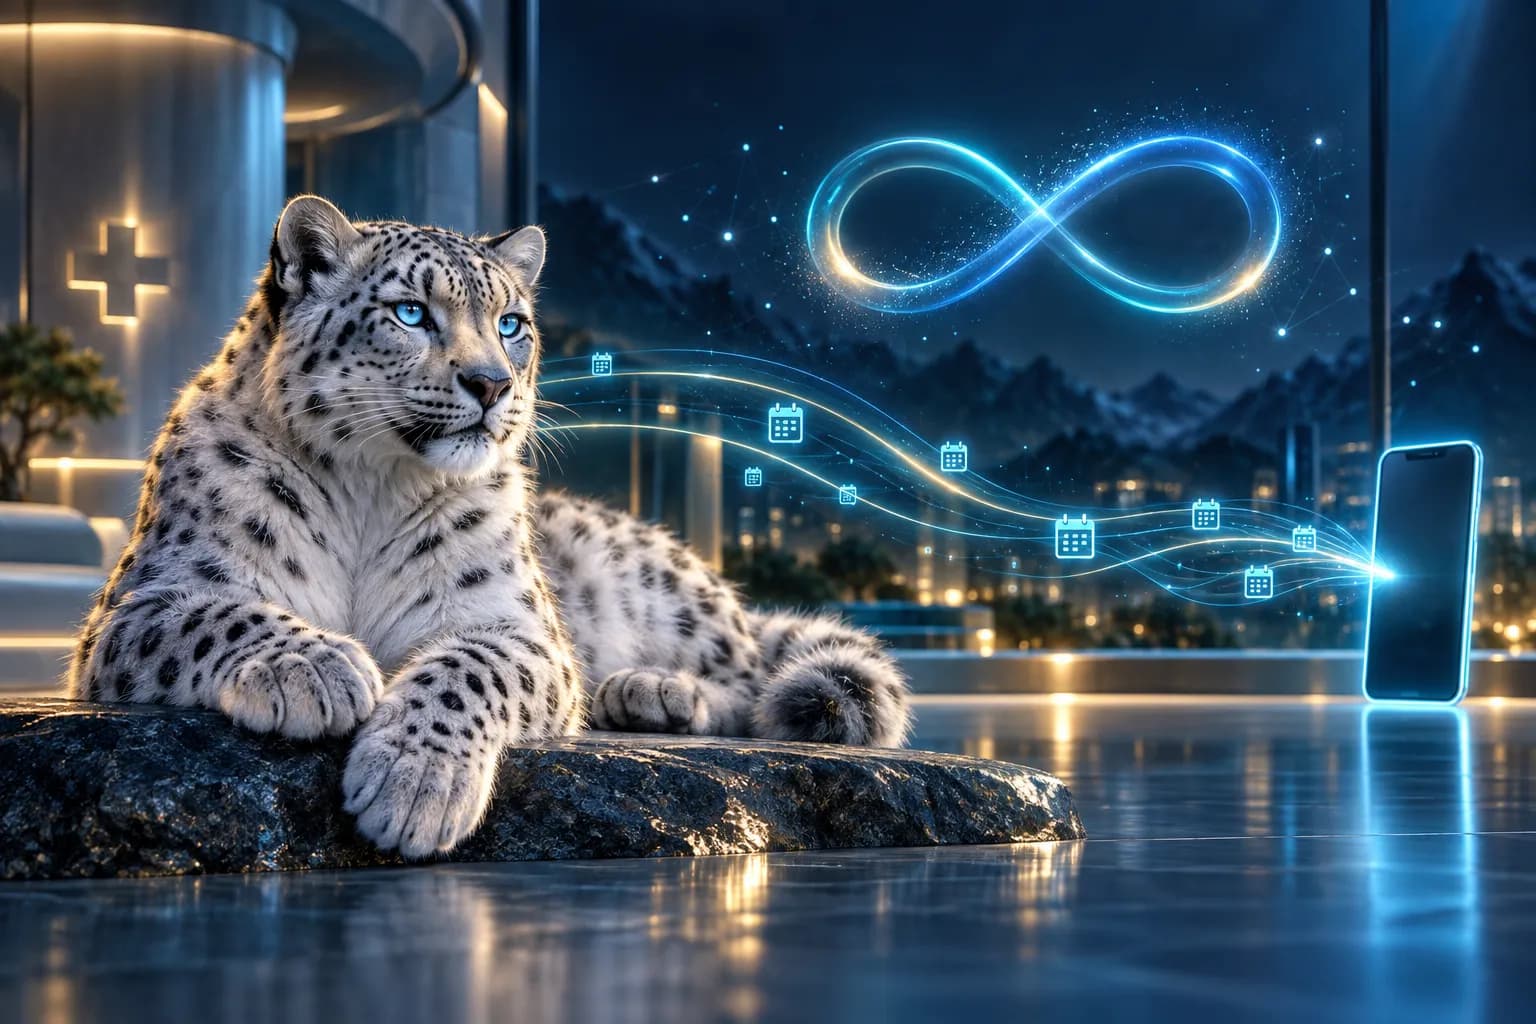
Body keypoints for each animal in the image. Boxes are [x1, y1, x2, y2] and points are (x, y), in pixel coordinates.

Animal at [67, 195, 911, 859]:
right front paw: (315, 667)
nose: (491, 383)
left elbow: (467, 668)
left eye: (511, 324)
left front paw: (415, 785)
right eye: (411, 312)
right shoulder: (137, 606)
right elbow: (220, 613)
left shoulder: (520, 626)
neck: (369, 487)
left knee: (755, 682)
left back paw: (654, 690)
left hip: (668, 595)